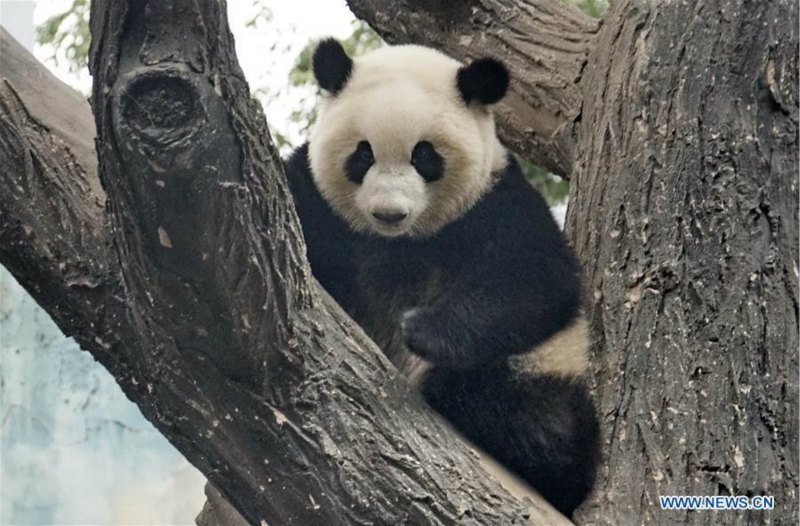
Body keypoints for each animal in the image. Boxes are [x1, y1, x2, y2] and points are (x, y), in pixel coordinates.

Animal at [282, 39, 600, 516]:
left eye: (424, 155)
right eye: (363, 154)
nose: (389, 213)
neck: (399, 243)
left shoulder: (495, 202)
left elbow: (537, 280)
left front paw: (420, 328)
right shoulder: (319, 204)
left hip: (547, 362)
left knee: (539, 418)